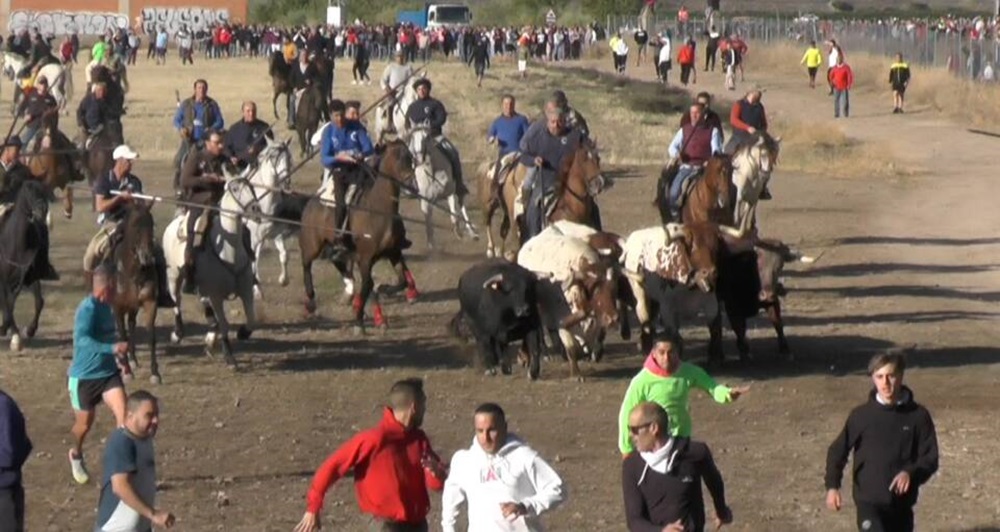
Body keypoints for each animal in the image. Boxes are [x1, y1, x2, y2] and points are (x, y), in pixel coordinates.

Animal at [0, 181, 54, 352]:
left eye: (43, 190)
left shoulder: (28, 277)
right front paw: (15, 337)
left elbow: (37, 302)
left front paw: (28, 330)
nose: (42, 210)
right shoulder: (4, 280)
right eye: (28, 191)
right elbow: (8, 304)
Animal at [106, 203, 163, 382]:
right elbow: (122, 335)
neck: (132, 273)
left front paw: (155, 373)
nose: (147, 257)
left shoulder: (149, 303)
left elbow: (151, 335)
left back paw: (133, 359)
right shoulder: (117, 307)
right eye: (134, 226)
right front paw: (127, 372)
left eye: (151, 224)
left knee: (131, 325)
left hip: (133, 307)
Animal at [298, 139, 420, 334]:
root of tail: (311, 202)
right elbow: (368, 285)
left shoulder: (393, 252)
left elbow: (400, 280)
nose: (412, 187)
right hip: (312, 246)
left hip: (338, 249)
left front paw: (384, 289)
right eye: (398, 159)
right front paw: (358, 321)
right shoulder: (365, 258)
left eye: (410, 157)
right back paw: (310, 302)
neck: (379, 210)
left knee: (338, 264)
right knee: (306, 265)